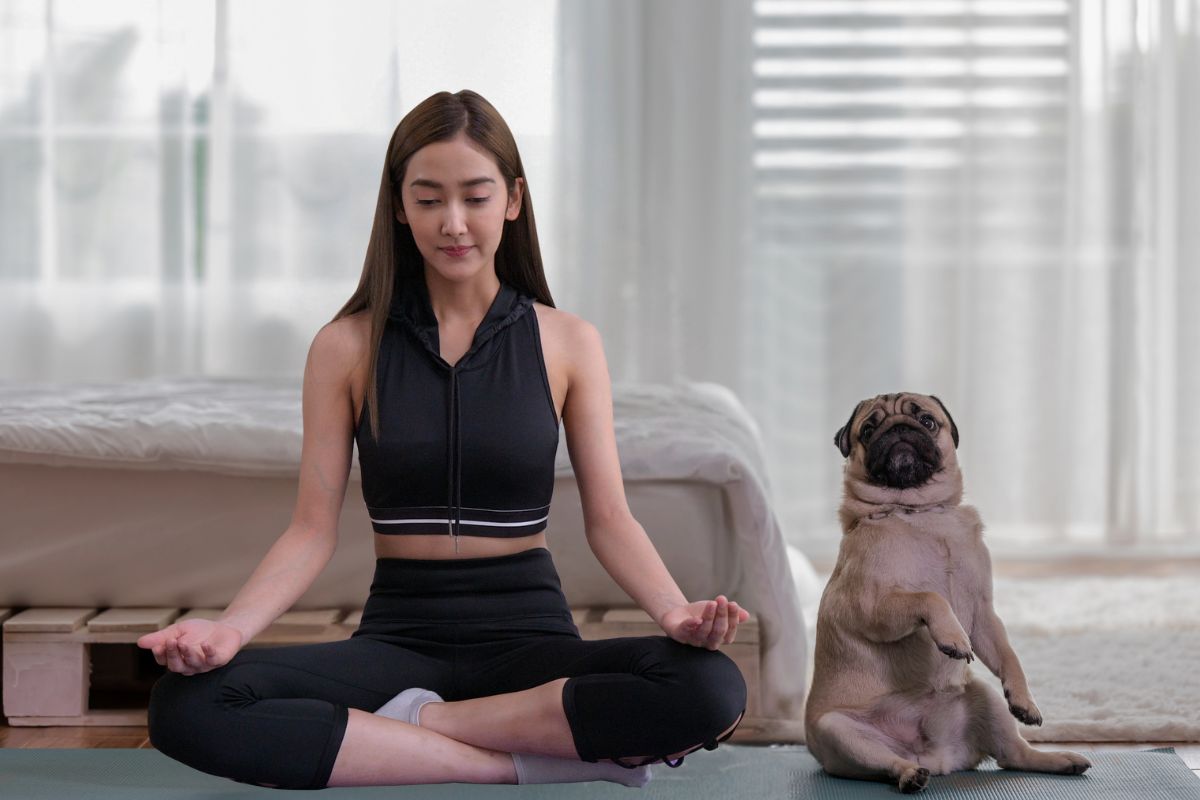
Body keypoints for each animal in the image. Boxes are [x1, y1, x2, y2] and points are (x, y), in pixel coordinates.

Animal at [806, 393, 1089, 796]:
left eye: (926, 420)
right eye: (869, 429)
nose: (898, 429)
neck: (921, 514)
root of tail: (937, 758)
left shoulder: (984, 614)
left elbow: (1009, 655)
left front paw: (1024, 699)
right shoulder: (873, 608)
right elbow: (930, 597)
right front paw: (951, 637)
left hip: (985, 697)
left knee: (1014, 754)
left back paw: (1061, 759)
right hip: (839, 732)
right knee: (889, 763)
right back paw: (909, 775)